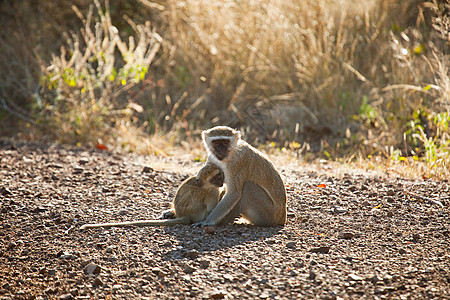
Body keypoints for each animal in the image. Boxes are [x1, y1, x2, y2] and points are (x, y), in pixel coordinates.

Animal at [80, 162, 224, 230]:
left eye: (220, 175)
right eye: (215, 177)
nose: (222, 182)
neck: (204, 184)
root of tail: (186, 216)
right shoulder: (212, 192)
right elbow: (212, 208)